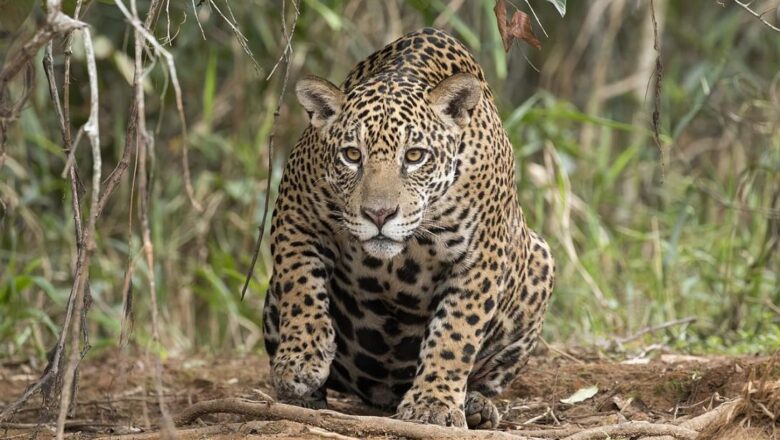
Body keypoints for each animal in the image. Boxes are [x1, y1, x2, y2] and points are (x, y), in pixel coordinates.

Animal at [262, 27, 554, 430]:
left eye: (415, 156)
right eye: (352, 155)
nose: (378, 214)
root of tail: (383, 394)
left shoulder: (481, 255)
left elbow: (456, 332)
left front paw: (433, 403)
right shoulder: (295, 213)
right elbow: (301, 285)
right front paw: (300, 361)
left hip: (540, 262)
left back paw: (476, 406)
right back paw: (303, 398)